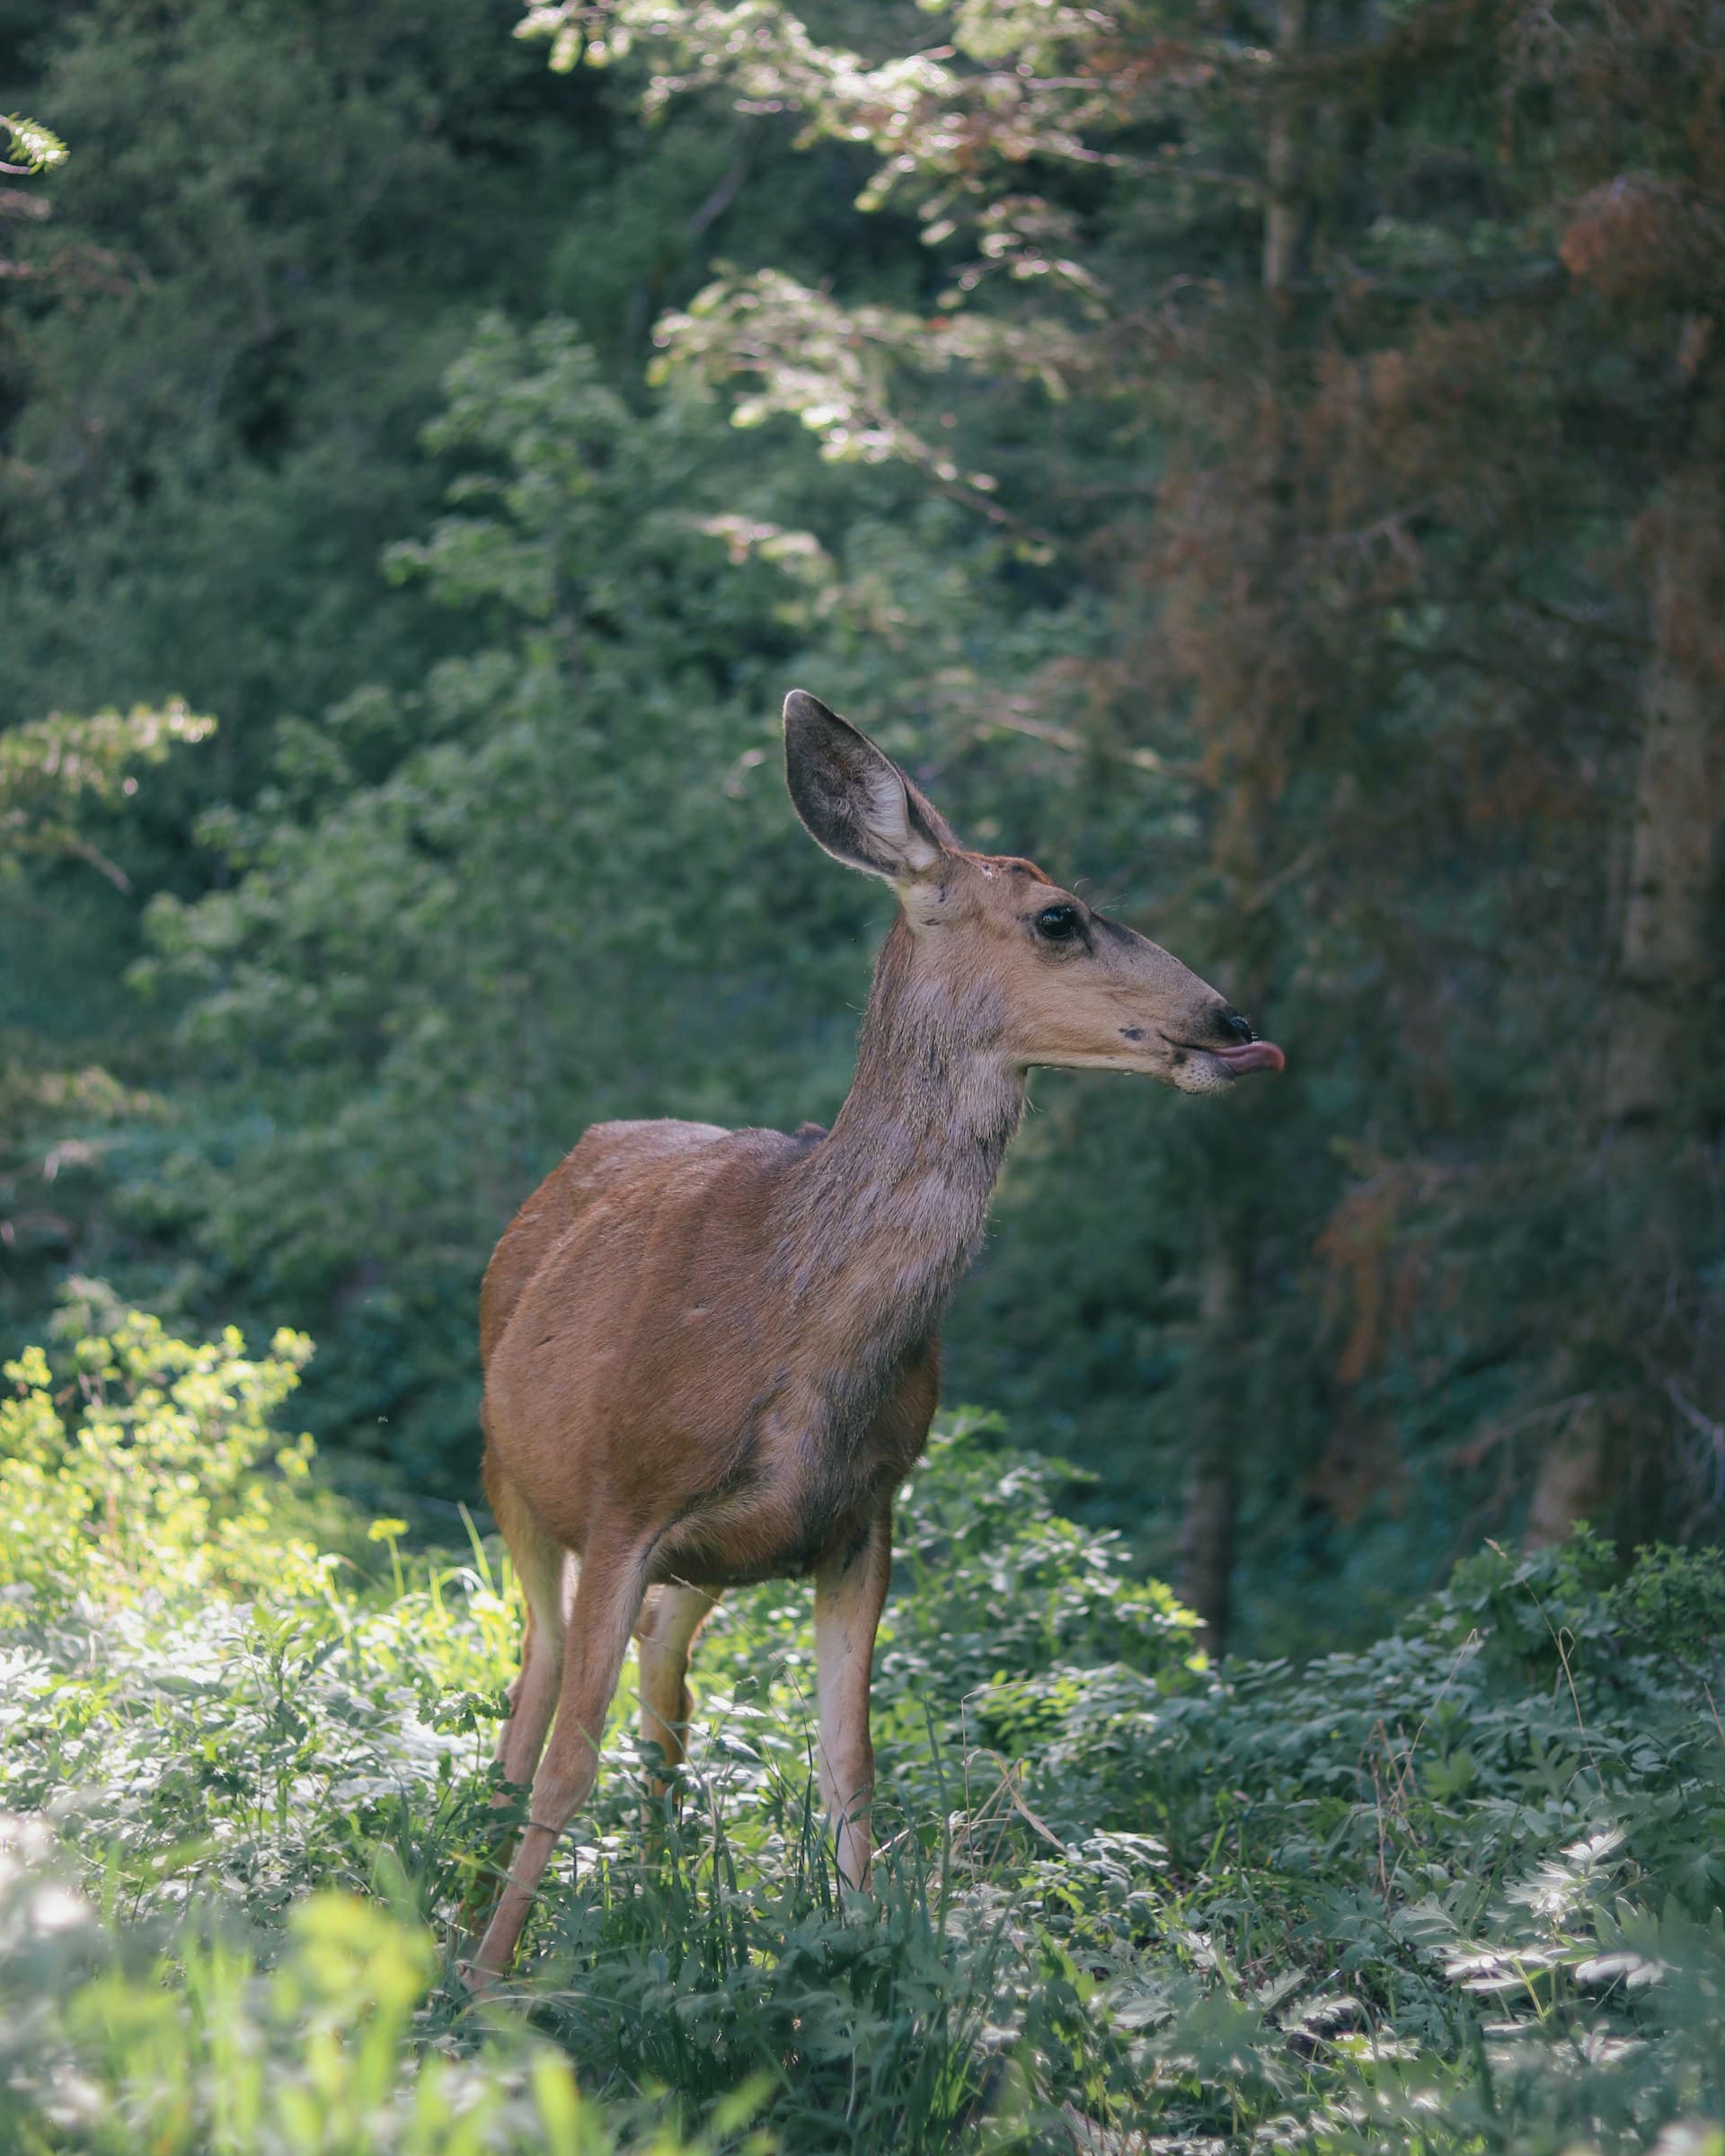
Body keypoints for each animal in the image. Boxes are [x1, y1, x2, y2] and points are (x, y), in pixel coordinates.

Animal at [466, 690, 1284, 1976]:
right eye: (1060, 916)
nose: (1230, 1019)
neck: (796, 1328)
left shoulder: (862, 1513)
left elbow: (849, 1764)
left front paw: (867, 1950)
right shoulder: (624, 1495)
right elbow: (565, 1762)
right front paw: (487, 1980)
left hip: (711, 1561)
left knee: (665, 1681)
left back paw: (652, 1875)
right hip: (514, 1479)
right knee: (535, 1690)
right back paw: (476, 1891)